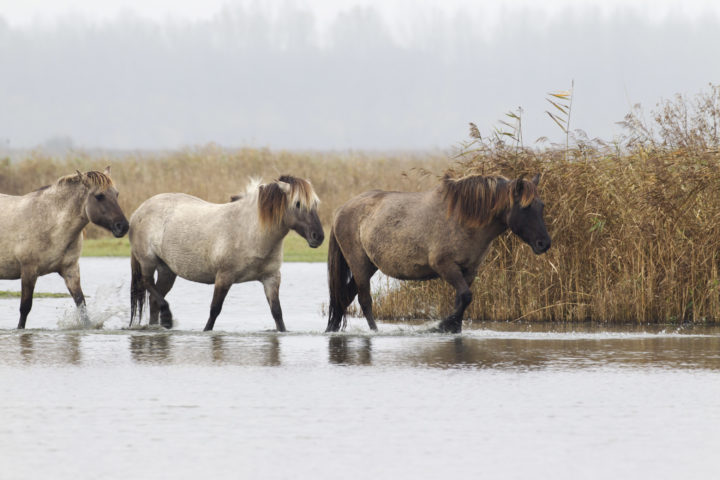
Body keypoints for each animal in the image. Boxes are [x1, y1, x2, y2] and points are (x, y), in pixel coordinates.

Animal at [0, 167, 128, 328]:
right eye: (99, 196)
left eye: (116, 194)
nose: (123, 226)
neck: (50, 223)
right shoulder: (29, 271)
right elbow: (25, 308)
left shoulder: (70, 270)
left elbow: (81, 305)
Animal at [129, 175, 324, 330]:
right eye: (298, 204)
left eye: (315, 204)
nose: (319, 237)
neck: (251, 232)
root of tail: (138, 212)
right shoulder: (224, 277)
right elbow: (215, 310)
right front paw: (206, 332)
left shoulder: (271, 278)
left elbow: (277, 313)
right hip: (148, 261)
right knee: (147, 283)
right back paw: (167, 318)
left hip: (167, 270)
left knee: (154, 298)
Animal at [326, 172, 552, 334]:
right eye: (525, 207)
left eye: (541, 205)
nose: (544, 243)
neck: (464, 220)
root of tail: (341, 210)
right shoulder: (445, 266)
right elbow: (466, 296)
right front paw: (442, 325)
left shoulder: (469, 271)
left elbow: (461, 299)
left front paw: (453, 328)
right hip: (359, 265)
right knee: (365, 300)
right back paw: (374, 331)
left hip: (369, 266)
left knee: (345, 297)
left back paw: (332, 328)